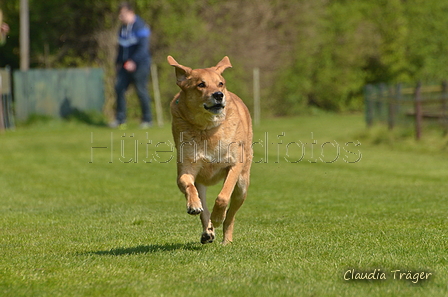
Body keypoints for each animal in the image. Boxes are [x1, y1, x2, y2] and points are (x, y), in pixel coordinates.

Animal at [167, 55, 252, 243]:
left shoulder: (234, 165)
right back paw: (208, 231)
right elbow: (186, 183)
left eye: (220, 83)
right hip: (202, 182)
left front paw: (218, 217)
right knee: (204, 210)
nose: (219, 95)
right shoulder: (187, 167)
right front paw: (193, 205)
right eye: (201, 84)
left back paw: (226, 238)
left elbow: (223, 196)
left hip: (242, 185)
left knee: (231, 216)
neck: (206, 128)